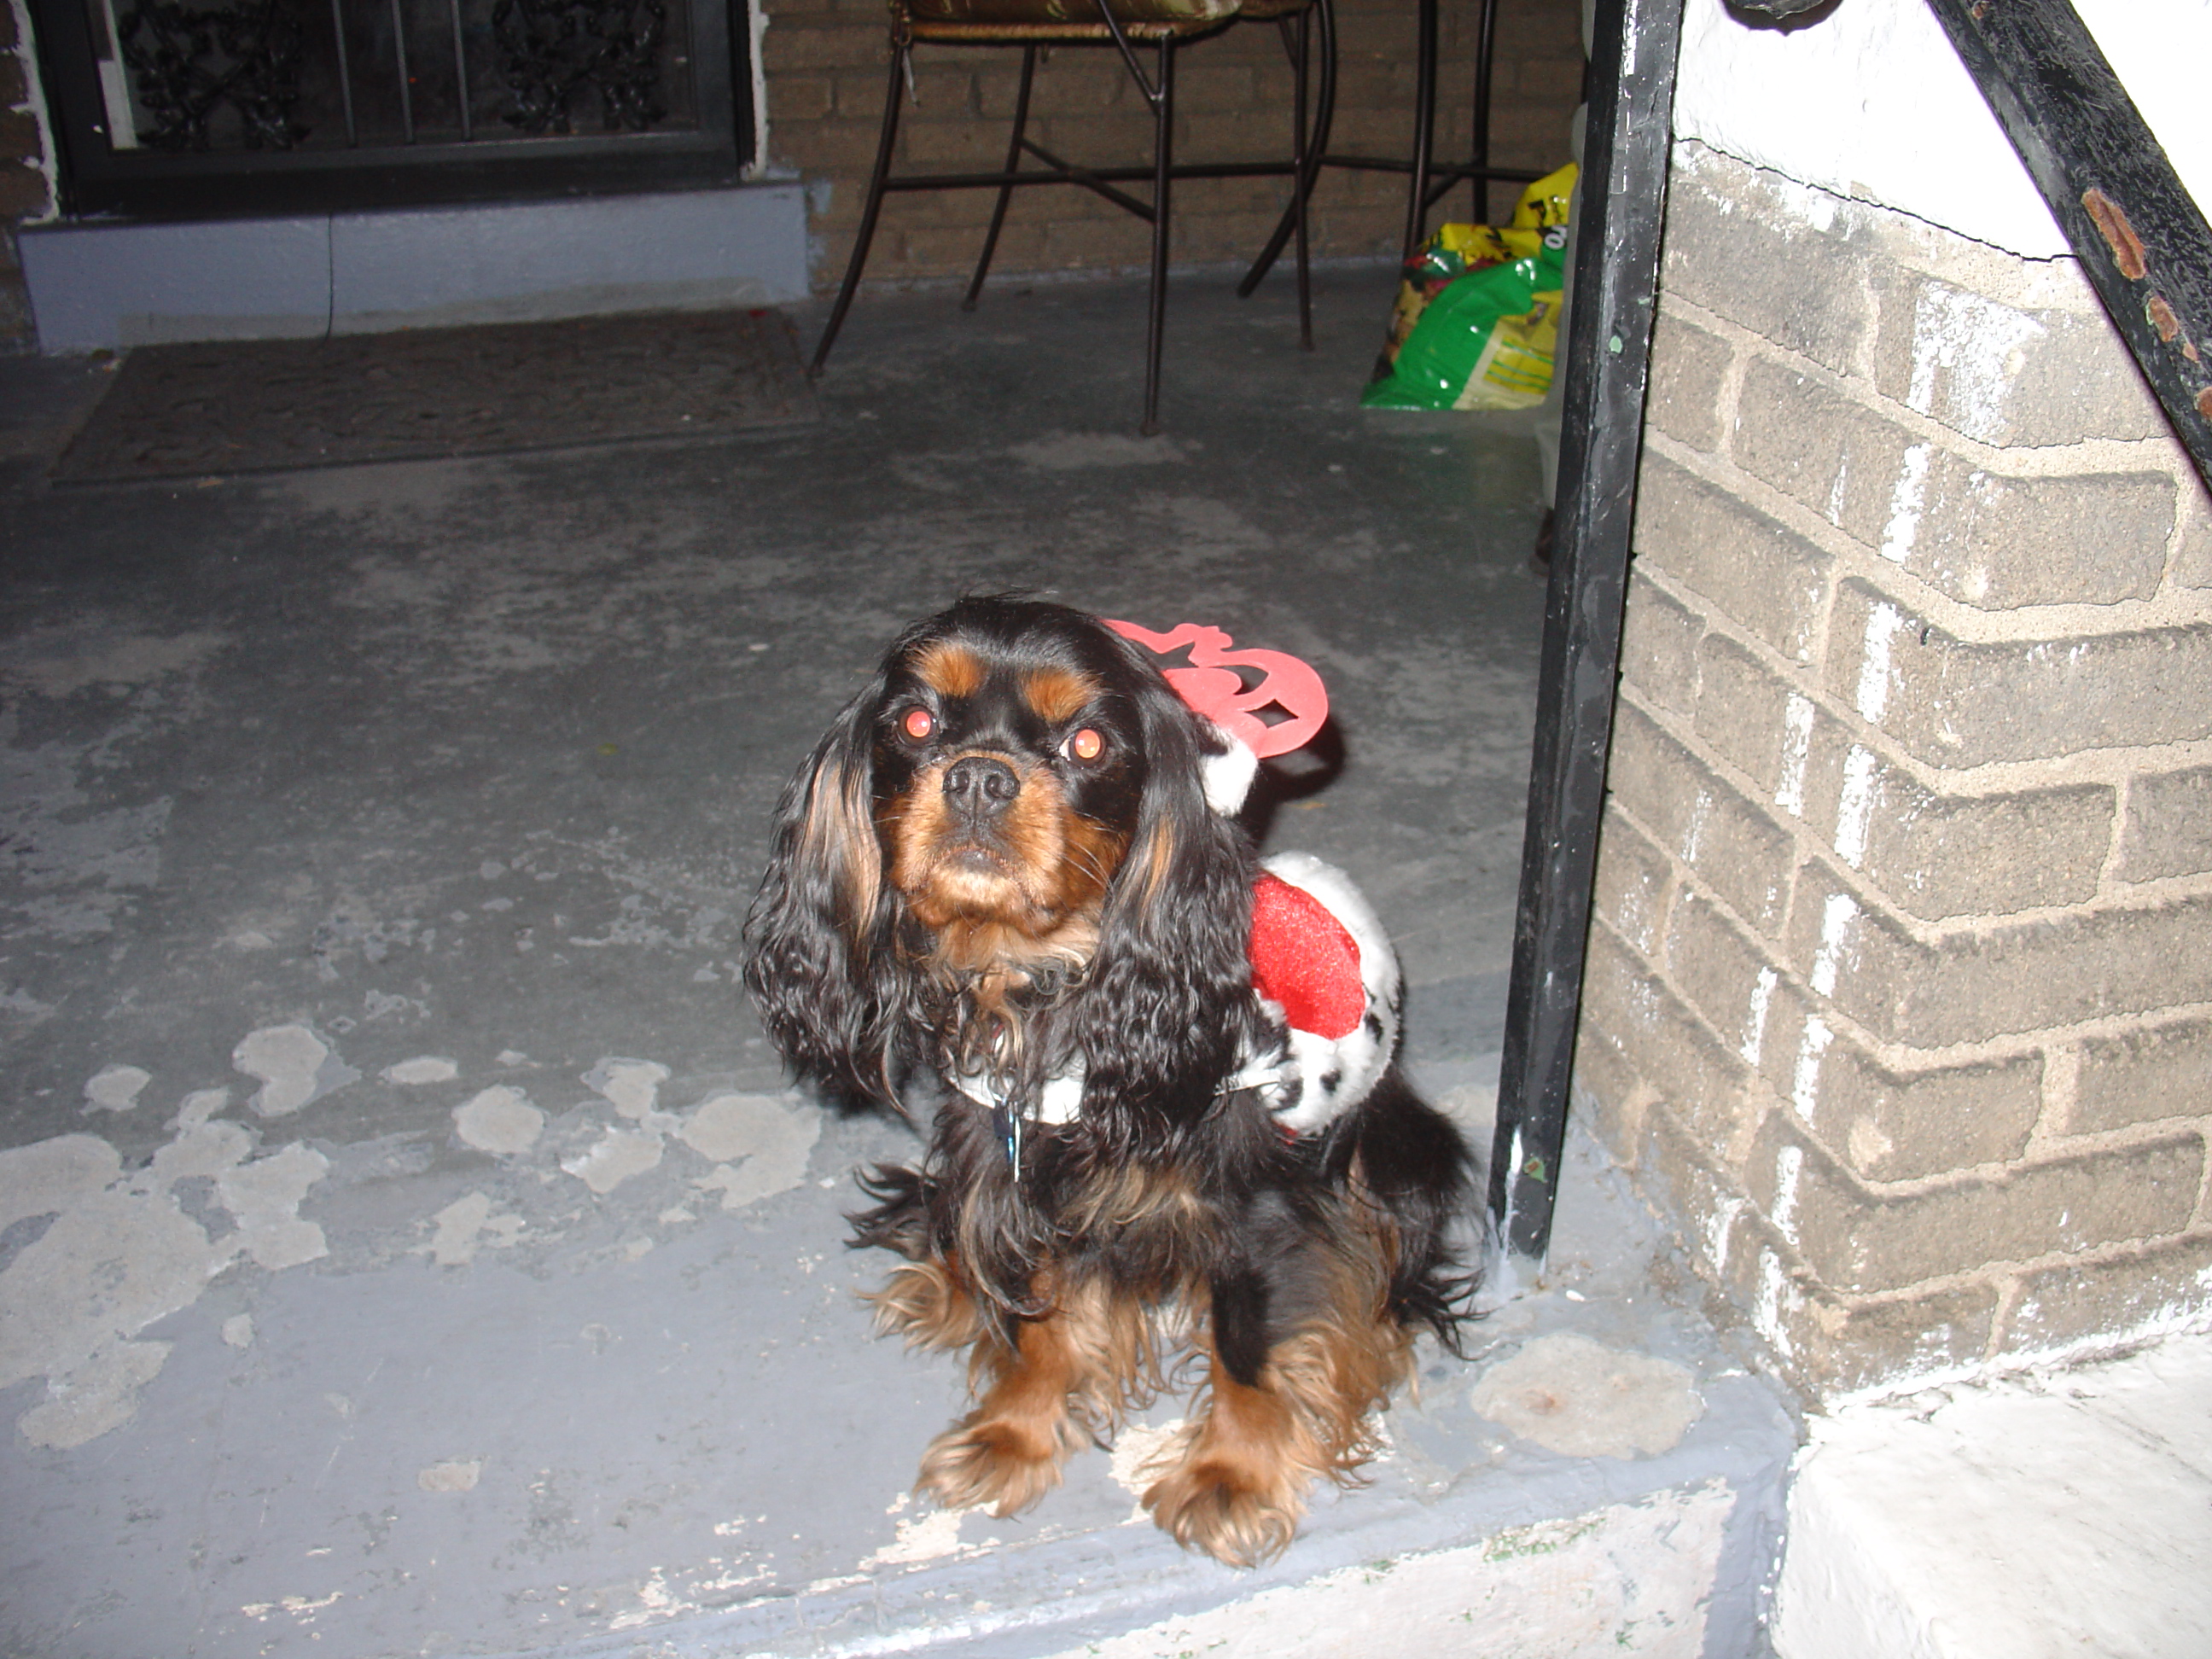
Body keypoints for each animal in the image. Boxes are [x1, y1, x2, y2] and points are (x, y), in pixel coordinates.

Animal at [743, 595, 1475, 1567]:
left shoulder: (1254, 1210)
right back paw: (950, 1283)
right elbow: (1037, 1325)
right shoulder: (1007, 1168)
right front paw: (1014, 1434)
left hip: (1399, 1155)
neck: (1047, 989)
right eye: (916, 724)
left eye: (1087, 745)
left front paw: (1231, 1476)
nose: (980, 779)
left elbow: (1248, 1344)